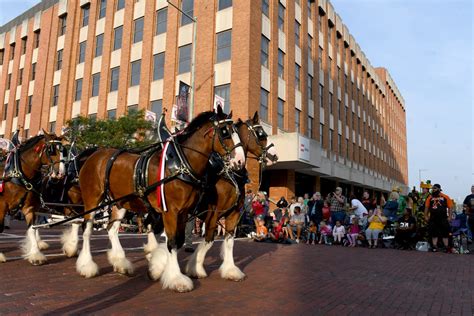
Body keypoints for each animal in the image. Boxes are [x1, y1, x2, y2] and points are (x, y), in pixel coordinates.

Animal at [0, 133, 66, 264]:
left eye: (63, 151)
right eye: (51, 150)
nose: (61, 173)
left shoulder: (29, 207)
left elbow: (32, 229)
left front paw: (35, 254)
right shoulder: (2, 205)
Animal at [75, 107, 244, 292]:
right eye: (225, 131)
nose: (240, 161)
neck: (181, 165)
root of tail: (94, 154)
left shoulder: (184, 212)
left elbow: (180, 240)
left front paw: (159, 268)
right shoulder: (171, 211)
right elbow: (173, 241)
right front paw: (176, 278)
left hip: (120, 203)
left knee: (111, 229)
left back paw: (121, 263)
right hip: (92, 199)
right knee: (87, 229)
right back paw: (86, 266)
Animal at [181, 112, 278, 280]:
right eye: (261, 134)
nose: (274, 157)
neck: (229, 176)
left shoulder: (234, 214)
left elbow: (229, 241)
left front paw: (230, 270)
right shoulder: (213, 214)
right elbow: (208, 241)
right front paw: (195, 268)